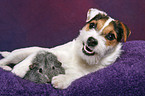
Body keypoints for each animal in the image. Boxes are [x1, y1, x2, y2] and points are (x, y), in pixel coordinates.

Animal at [0, 8, 130, 89]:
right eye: (92, 25)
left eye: (110, 36)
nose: (91, 40)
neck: (82, 59)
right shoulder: (52, 52)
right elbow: (35, 55)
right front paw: (19, 69)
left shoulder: (89, 72)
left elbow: (76, 75)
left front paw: (62, 79)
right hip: (17, 54)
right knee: (4, 60)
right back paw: (7, 66)